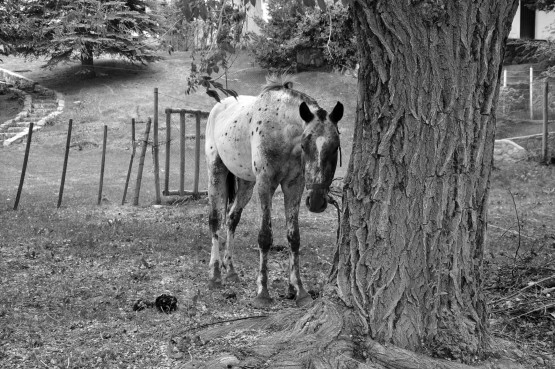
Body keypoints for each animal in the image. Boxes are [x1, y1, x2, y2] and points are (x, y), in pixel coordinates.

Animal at [204, 77, 344, 308]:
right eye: (305, 145)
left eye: (335, 147)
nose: (316, 202)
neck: (281, 130)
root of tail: (219, 106)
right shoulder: (266, 184)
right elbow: (265, 237)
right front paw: (263, 291)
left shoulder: (294, 186)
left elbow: (294, 237)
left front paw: (299, 290)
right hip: (216, 172)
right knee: (215, 220)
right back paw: (215, 275)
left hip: (246, 184)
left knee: (232, 218)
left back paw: (230, 270)